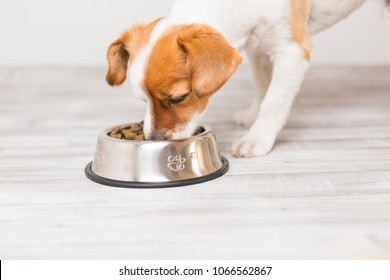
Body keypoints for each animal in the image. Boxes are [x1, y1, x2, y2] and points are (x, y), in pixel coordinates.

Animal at [105, 0, 388, 158]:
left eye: (179, 98)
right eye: (143, 101)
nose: (153, 139)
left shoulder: (292, 52)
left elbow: (274, 102)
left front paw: (258, 138)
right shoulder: (257, 50)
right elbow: (262, 88)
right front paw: (254, 117)